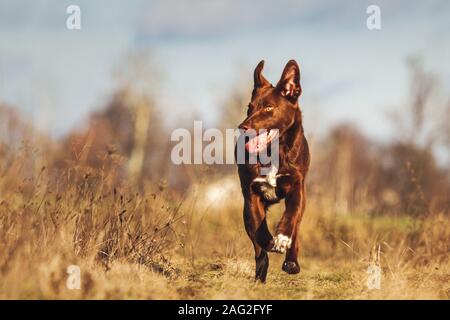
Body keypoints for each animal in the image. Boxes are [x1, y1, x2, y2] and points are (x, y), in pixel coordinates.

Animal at [236, 60, 310, 282]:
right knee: (258, 247)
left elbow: (291, 216)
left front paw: (282, 238)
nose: (242, 127)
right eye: (249, 108)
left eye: (269, 107)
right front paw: (270, 241)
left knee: (296, 227)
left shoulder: (297, 187)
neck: (274, 151)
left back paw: (291, 262)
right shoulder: (250, 194)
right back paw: (261, 271)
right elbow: (260, 233)